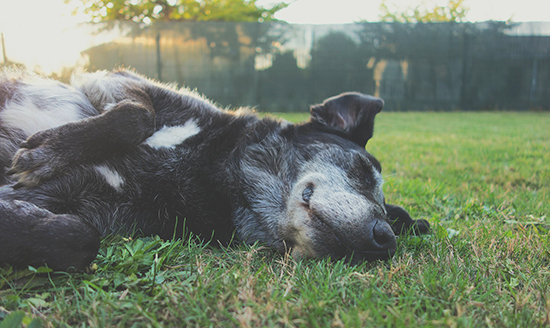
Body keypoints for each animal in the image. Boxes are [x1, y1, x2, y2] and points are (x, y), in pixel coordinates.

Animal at [0, 68, 432, 270]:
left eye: (392, 223)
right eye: (361, 169)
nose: (385, 240)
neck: (212, 171)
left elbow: (78, 238)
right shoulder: (116, 80)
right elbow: (136, 116)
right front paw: (45, 152)